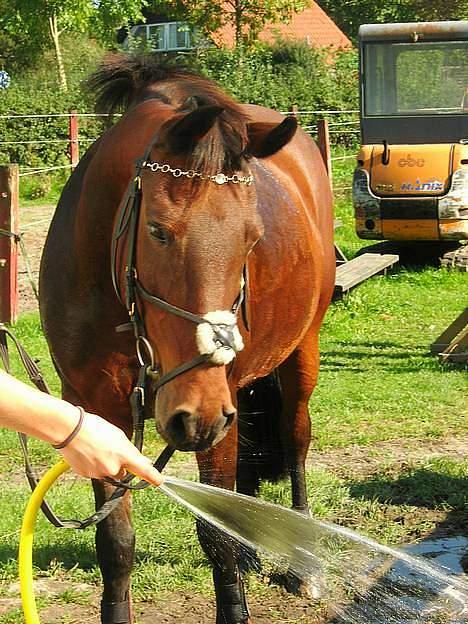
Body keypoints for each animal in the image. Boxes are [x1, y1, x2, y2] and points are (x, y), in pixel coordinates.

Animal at [39, 54, 332, 624]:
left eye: (253, 238)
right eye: (157, 231)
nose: (198, 413)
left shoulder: (217, 413)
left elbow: (216, 535)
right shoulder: (95, 409)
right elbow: (116, 542)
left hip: (299, 355)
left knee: (295, 437)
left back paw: (306, 566)